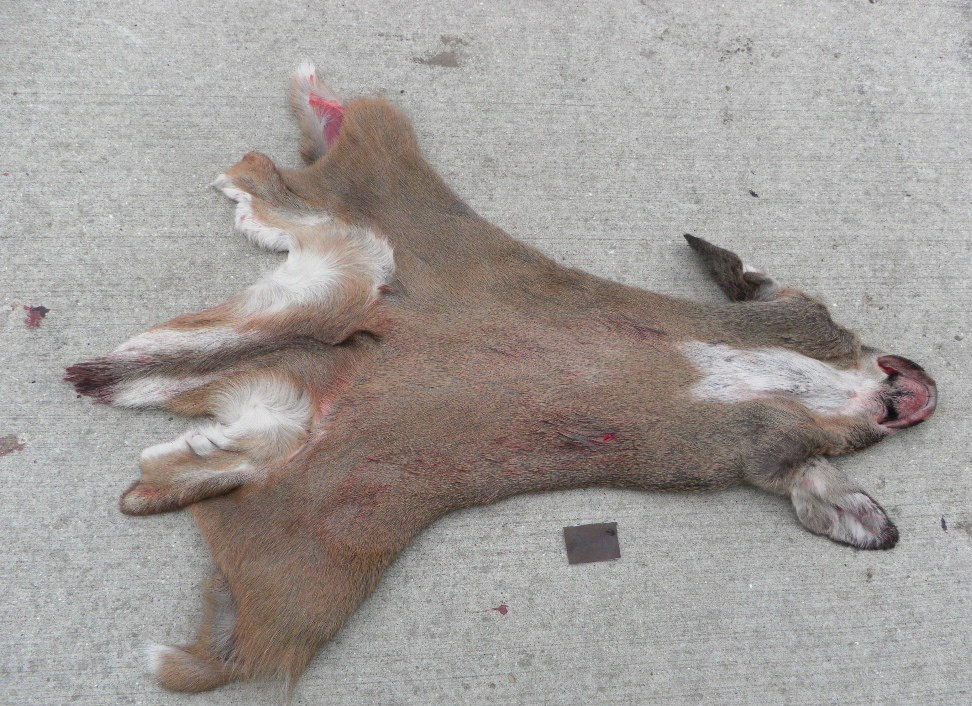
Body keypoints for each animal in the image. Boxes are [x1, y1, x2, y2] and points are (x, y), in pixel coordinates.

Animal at [65, 62, 938, 693]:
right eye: (862, 346)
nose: (920, 389)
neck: (840, 382)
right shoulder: (793, 350)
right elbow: (761, 295)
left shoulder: (785, 435)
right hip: (384, 208)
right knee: (309, 160)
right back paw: (295, 129)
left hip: (318, 523)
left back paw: (145, 438)